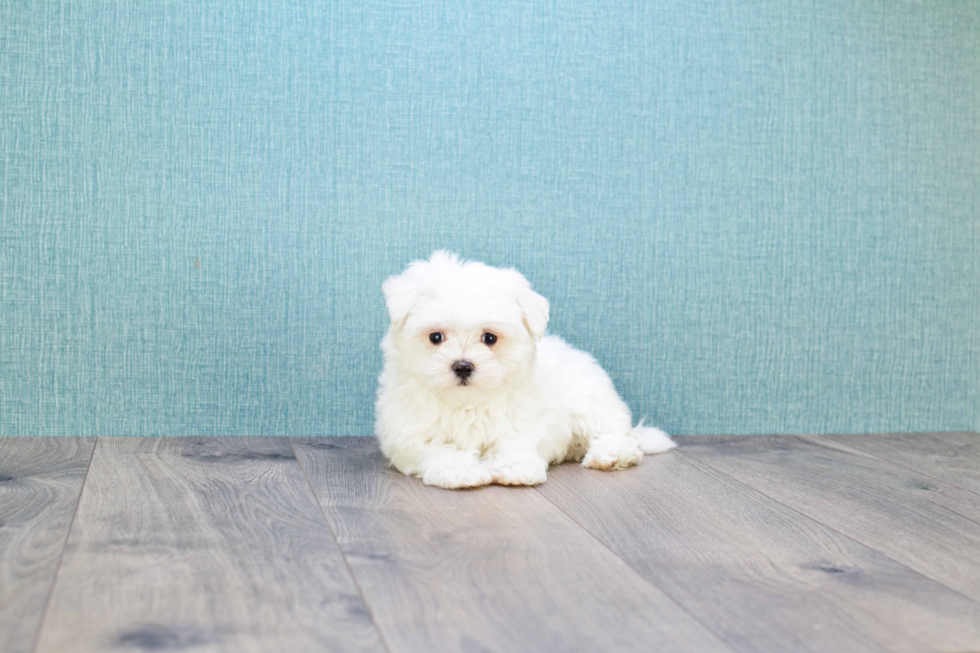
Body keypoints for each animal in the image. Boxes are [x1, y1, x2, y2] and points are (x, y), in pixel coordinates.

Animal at [374, 252, 672, 486]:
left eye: (489, 338)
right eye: (436, 337)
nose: (463, 366)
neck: (467, 404)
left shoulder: (522, 419)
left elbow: (515, 443)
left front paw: (513, 469)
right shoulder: (408, 437)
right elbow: (439, 450)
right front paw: (460, 471)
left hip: (591, 403)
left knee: (618, 434)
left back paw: (609, 455)